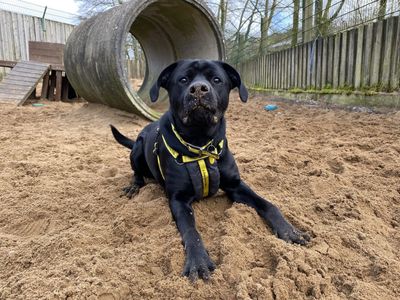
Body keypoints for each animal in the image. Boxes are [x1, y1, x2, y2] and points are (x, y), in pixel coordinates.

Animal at [111, 60, 310, 282]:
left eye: (216, 79)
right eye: (183, 79)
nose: (198, 88)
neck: (200, 143)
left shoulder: (236, 185)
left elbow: (268, 205)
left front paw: (289, 230)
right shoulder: (178, 200)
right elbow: (191, 231)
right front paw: (198, 261)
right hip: (138, 147)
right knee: (136, 171)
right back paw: (134, 186)